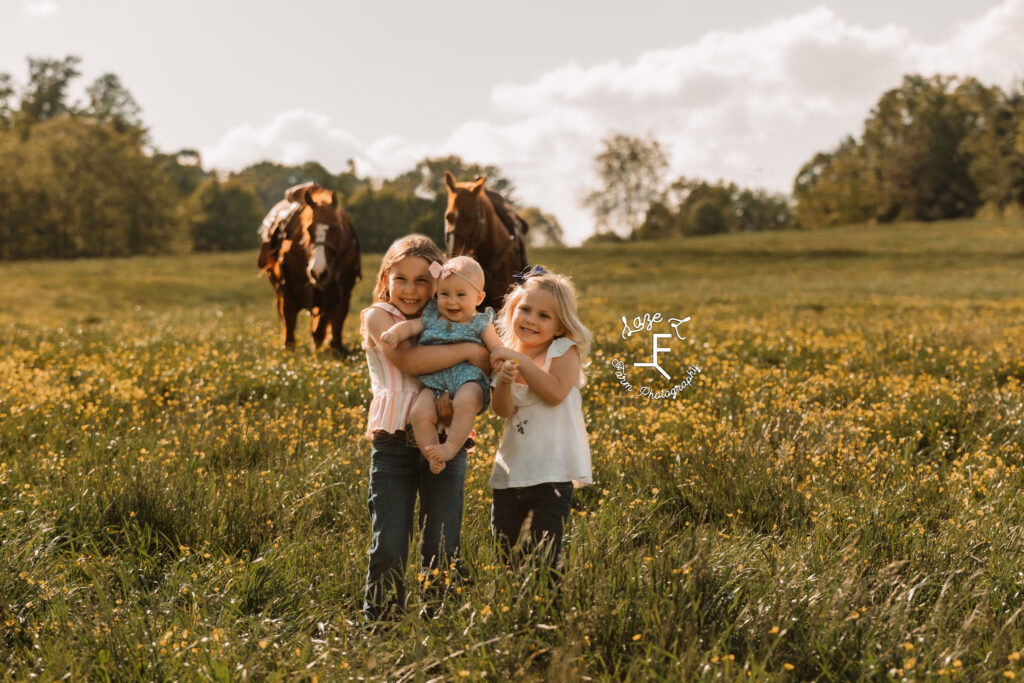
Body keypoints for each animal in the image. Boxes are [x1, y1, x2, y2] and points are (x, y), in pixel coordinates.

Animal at [258, 185, 362, 352]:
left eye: (336, 228)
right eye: (308, 229)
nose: (318, 272)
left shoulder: (341, 291)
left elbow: (332, 323)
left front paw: (335, 347)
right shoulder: (287, 289)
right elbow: (289, 320)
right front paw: (288, 348)